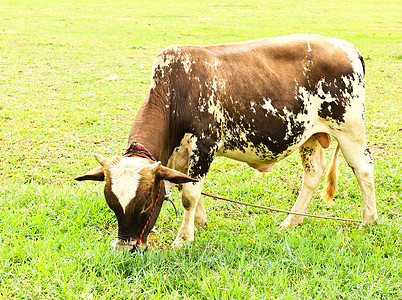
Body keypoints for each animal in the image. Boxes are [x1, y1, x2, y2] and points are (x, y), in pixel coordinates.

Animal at [74, 34, 376, 252]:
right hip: (309, 135)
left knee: (363, 169)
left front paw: (183, 238)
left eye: (147, 203)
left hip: (349, 128)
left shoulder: (204, 146)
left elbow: (189, 194)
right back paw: (291, 221)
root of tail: (345, 46)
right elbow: (184, 184)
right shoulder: (176, 155)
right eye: (112, 204)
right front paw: (199, 222)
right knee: (312, 175)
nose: (126, 249)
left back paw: (368, 220)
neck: (175, 92)